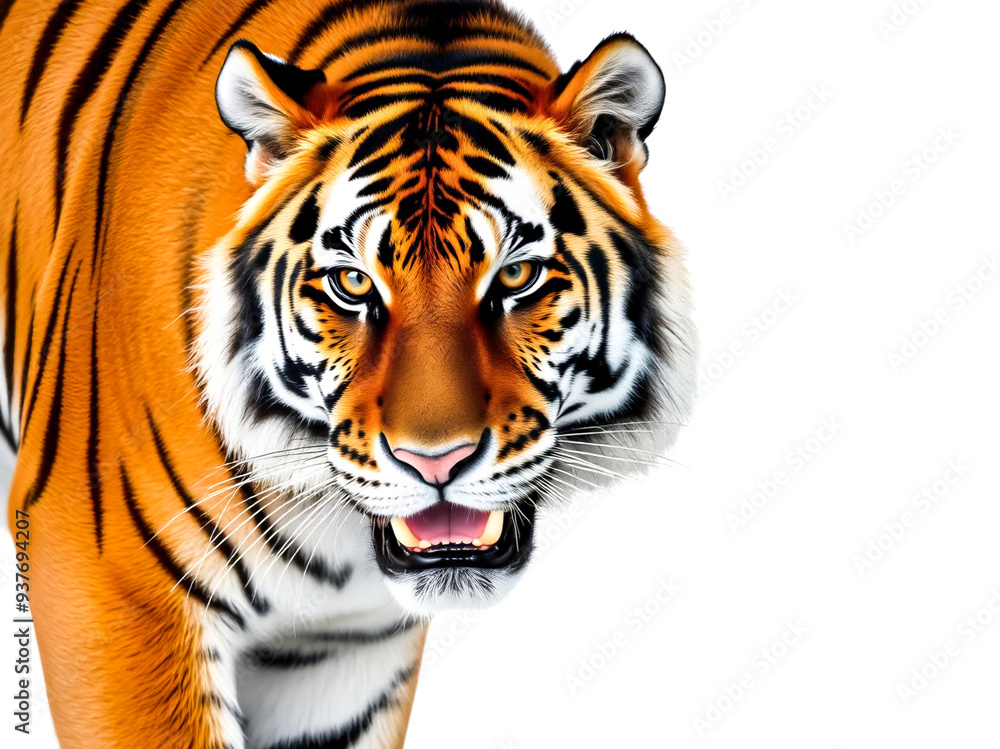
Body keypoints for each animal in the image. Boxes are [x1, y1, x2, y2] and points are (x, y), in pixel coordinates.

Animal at [0, 0, 696, 745]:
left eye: (516, 276)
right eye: (352, 284)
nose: (436, 460)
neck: (332, 543)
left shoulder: (341, 648)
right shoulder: (107, 578)